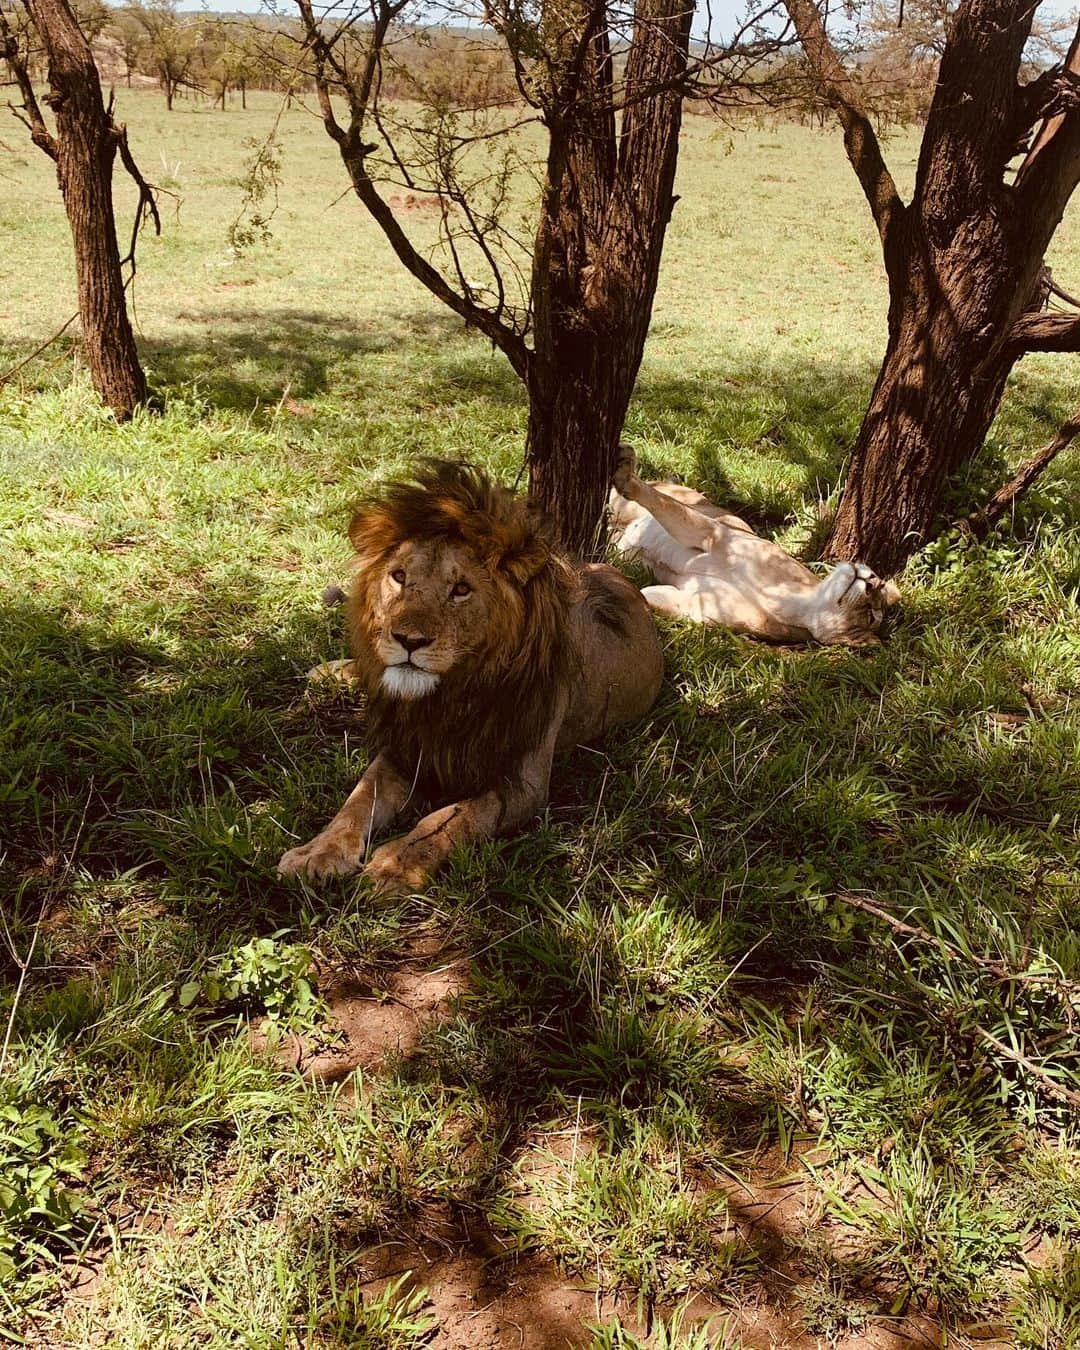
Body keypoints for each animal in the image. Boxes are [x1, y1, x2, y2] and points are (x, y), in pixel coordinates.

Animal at [276, 459, 666, 891]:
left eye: (461, 589)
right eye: (399, 577)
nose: (408, 640)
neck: (453, 693)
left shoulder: (523, 782)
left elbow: (450, 819)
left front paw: (396, 865)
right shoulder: (406, 748)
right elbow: (358, 800)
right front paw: (317, 852)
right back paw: (329, 672)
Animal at [607, 448, 901, 648]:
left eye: (871, 615)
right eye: (879, 582)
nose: (870, 581)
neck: (791, 602)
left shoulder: (692, 605)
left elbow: (645, 594)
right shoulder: (715, 533)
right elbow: (662, 503)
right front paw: (626, 475)